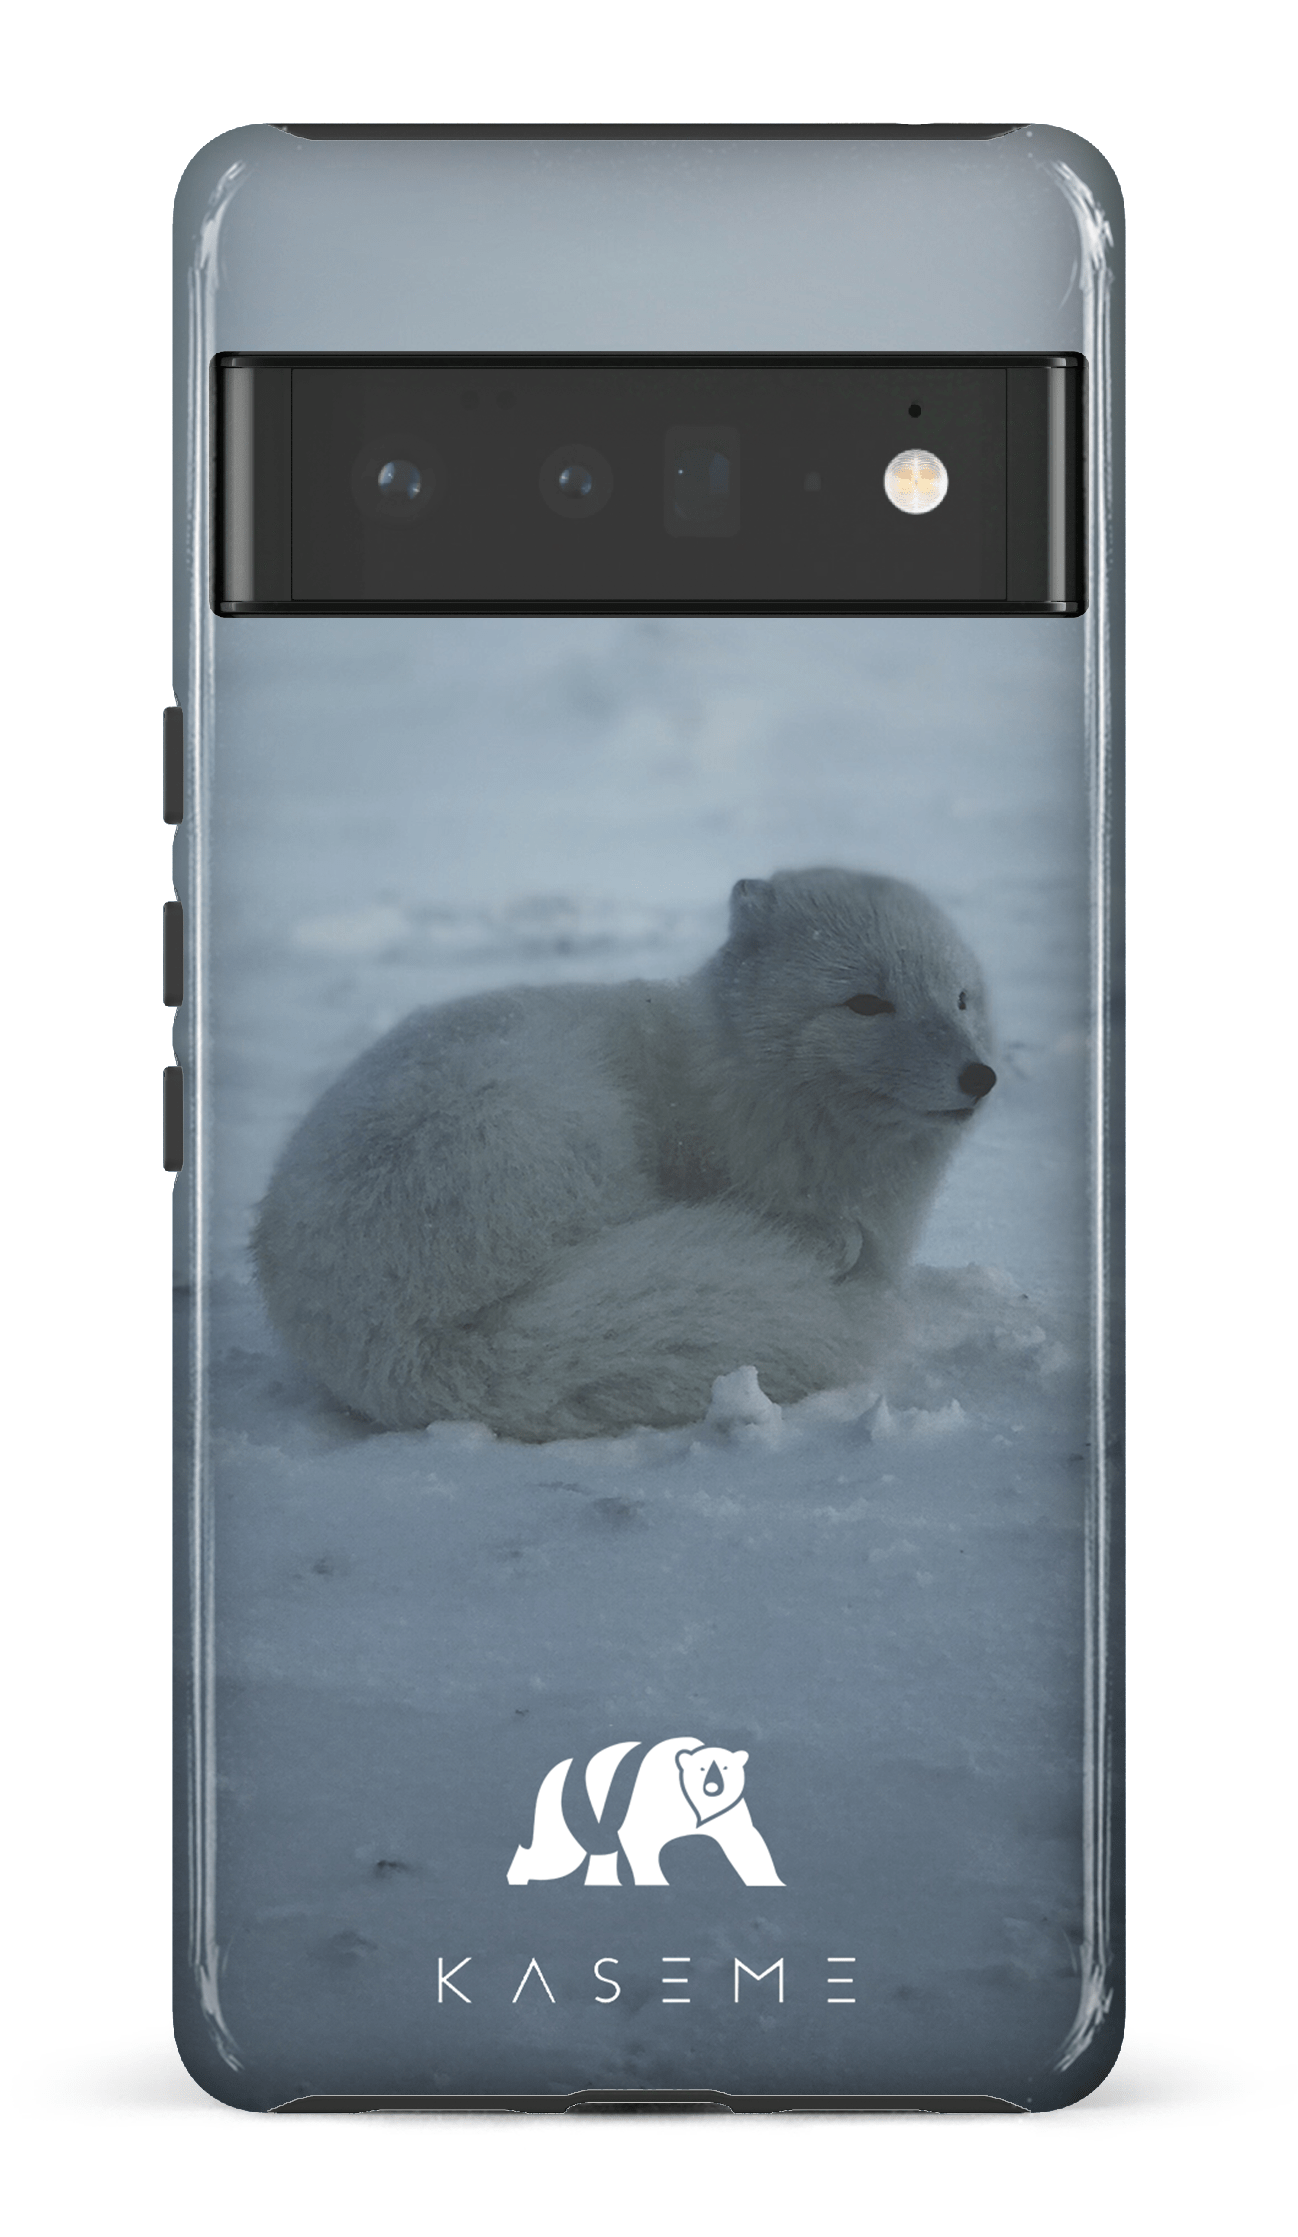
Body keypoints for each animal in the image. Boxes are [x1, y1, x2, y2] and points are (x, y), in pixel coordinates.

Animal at [253, 868, 996, 1440]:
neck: (736, 1078)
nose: (980, 1076)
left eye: (960, 998)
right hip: (552, 1124)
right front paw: (828, 1243)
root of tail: (403, 1343)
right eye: (866, 1002)